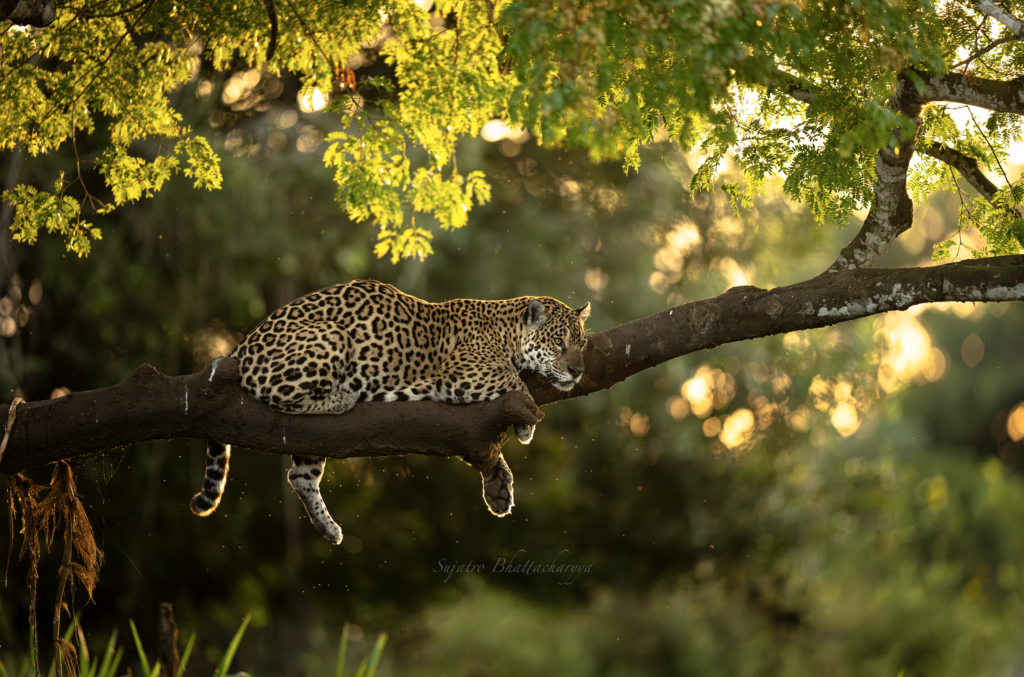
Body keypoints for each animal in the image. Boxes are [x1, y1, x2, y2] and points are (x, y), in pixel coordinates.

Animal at [189, 279, 591, 544]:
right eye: (559, 343)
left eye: (583, 343)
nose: (578, 371)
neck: (508, 331)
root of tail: (241, 344)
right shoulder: (464, 373)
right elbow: (515, 380)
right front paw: (526, 425)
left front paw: (501, 479)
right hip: (332, 335)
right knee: (274, 395)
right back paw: (342, 398)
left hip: (310, 440)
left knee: (299, 475)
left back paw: (328, 528)